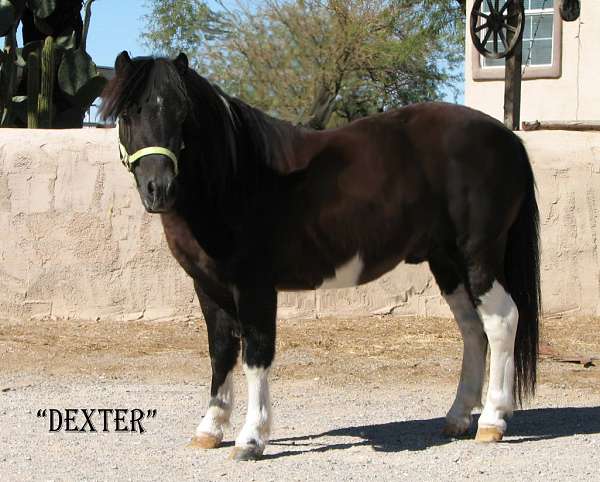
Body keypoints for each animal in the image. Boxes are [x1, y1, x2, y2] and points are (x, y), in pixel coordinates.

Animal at [101, 51, 540, 460]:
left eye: (183, 114)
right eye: (128, 112)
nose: (159, 189)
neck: (236, 178)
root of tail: (508, 138)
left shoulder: (254, 287)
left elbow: (256, 356)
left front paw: (251, 439)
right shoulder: (208, 287)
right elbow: (220, 352)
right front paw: (209, 429)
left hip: (478, 256)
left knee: (501, 321)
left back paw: (492, 421)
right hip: (447, 262)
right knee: (472, 330)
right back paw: (458, 417)